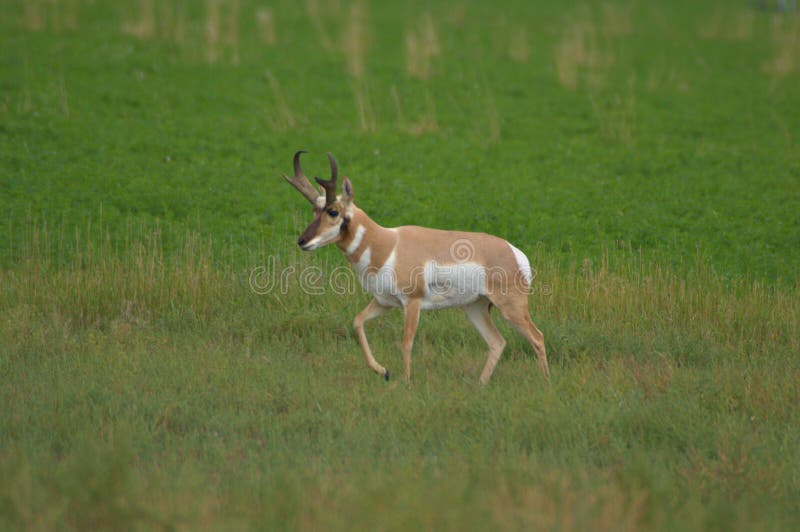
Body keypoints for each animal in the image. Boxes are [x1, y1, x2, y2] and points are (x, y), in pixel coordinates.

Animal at [284, 151, 549, 384]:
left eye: (333, 211)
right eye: (314, 210)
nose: (302, 241)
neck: (386, 244)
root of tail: (514, 252)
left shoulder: (411, 303)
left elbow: (406, 342)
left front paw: (406, 382)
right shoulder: (384, 302)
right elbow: (357, 321)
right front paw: (383, 371)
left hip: (511, 308)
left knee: (537, 337)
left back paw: (545, 384)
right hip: (475, 307)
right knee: (497, 342)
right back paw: (480, 385)